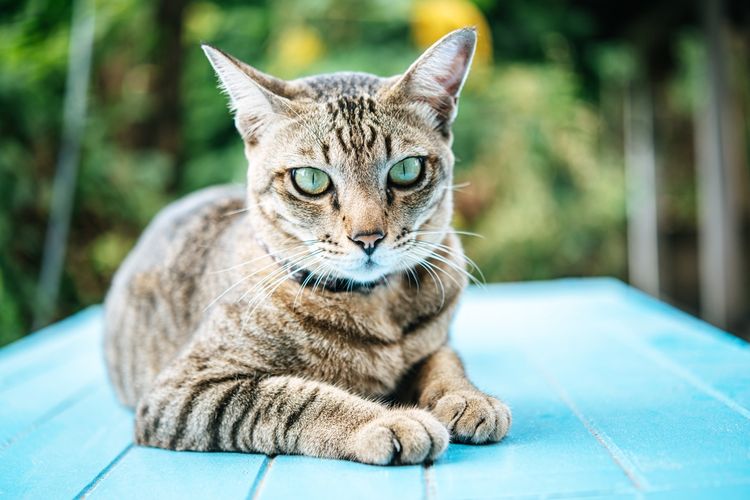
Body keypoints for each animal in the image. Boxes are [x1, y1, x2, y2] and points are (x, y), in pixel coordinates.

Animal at [104, 27, 512, 464]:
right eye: (311, 179)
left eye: (406, 170)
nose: (368, 237)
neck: (374, 307)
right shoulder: (185, 390)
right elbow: (296, 399)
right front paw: (386, 420)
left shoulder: (436, 343)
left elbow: (445, 363)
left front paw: (468, 397)